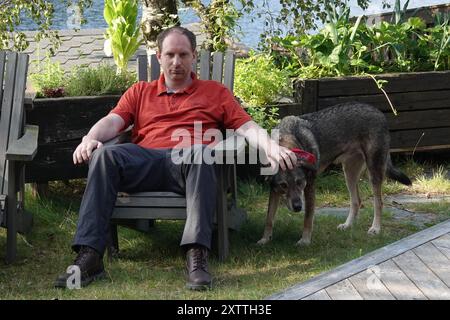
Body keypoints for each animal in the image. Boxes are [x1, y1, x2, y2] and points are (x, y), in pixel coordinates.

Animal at [256, 101, 412, 246]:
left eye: (300, 182)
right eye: (283, 185)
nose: (298, 207)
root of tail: (379, 112)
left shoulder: (309, 187)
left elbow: (308, 217)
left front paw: (305, 241)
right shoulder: (274, 190)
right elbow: (269, 218)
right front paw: (264, 239)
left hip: (373, 171)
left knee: (378, 202)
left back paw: (375, 228)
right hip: (349, 173)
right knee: (356, 201)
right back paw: (347, 225)